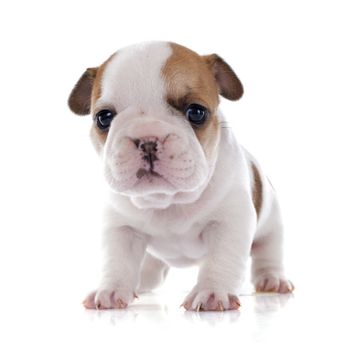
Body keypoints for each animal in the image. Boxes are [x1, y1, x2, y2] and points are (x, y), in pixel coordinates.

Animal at [67, 41, 292, 312]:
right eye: (103, 118)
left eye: (196, 112)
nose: (147, 139)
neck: (168, 200)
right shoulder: (121, 228)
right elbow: (116, 260)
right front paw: (110, 289)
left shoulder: (230, 222)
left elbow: (221, 259)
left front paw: (211, 292)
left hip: (272, 223)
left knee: (268, 251)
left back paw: (272, 279)